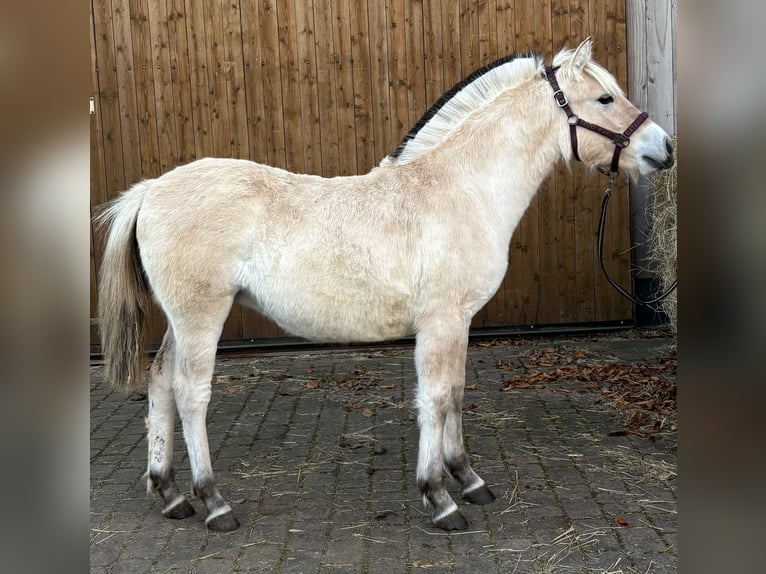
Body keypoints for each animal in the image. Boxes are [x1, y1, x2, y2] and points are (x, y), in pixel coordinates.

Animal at [96, 39, 674, 532]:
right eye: (604, 97)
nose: (663, 148)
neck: (460, 189)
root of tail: (151, 189)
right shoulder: (441, 321)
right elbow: (435, 397)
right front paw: (440, 498)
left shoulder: (459, 322)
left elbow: (456, 393)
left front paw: (469, 480)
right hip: (201, 317)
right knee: (190, 394)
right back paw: (214, 503)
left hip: (180, 322)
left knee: (159, 384)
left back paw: (170, 494)